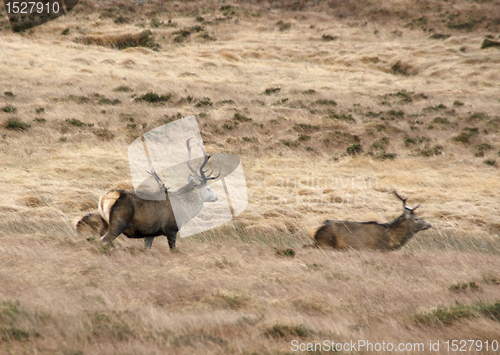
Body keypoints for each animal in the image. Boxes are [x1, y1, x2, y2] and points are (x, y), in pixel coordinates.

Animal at [75, 138, 220, 249]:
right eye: (208, 188)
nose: (216, 197)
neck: (184, 210)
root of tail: (105, 198)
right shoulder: (171, 229)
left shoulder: (150, 233)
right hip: (118, 222)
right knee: (104, 240)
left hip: (104, 222)